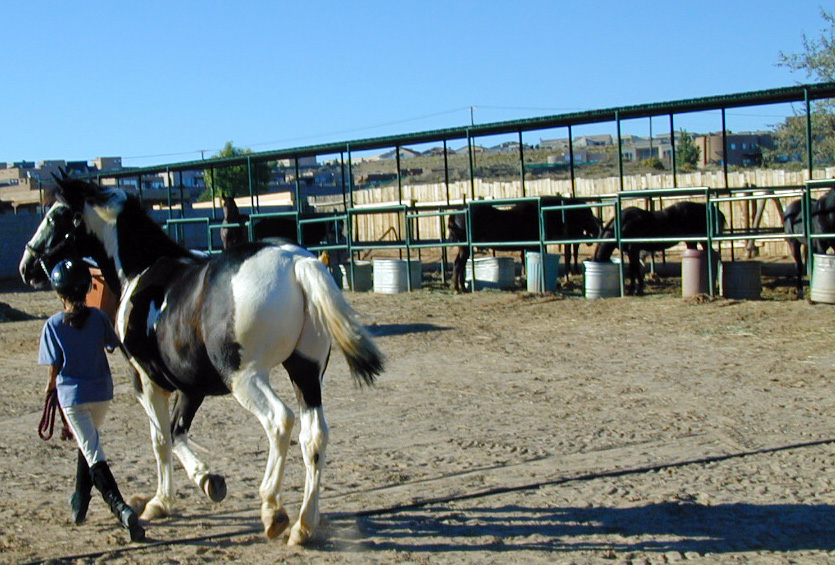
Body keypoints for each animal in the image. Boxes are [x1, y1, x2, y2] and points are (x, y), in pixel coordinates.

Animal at [19, 177, 384, 546]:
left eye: (56, 216)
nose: (27, 265)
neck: (141, 269)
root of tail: (294, 261)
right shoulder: (191, 387)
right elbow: (177, 431)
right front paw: (208, 481)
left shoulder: (147, 382)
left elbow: (161, 439)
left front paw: (162, 501)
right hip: (306, 373)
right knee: (314, 437)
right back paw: (304, 525)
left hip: (246, 378)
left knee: (280, 421)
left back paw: (273, 510)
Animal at [447, 196, 601, 293]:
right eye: (586, 214)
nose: (596, 231)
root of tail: (456, 213)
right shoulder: (536, 246)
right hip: (465, 248)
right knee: (459, 264)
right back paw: (457, 289)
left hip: (464, 247)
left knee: (459, 265)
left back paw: (462, 288)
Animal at [592, 201, 725, 296]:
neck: (622, 224)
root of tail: (704, 207)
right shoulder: (630, 252)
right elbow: (634, 269)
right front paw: (635, 289)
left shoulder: (633, 249)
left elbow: (633, 269)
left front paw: (636, 290)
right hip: (693, 242)